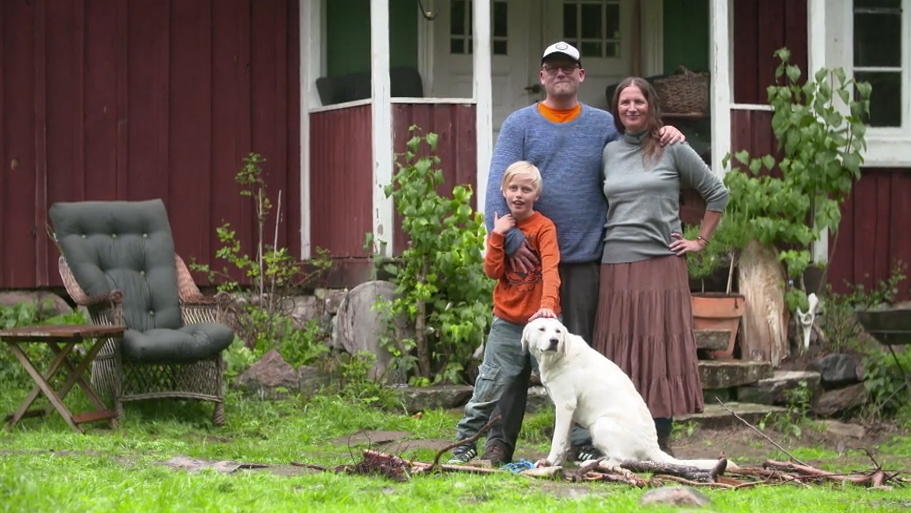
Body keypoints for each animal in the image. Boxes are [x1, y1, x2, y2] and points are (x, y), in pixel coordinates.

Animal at [528, 318, 728, 470]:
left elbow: (558, 440)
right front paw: (557, 462)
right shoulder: (569, 412)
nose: (554, 341)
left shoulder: (565, 406)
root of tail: (653, 446)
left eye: (558, 332)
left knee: (622, 459)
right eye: (541, 329)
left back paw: (599, 463)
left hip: (601, 424)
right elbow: (565, 440)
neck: (560, 356)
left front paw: (549, 462)